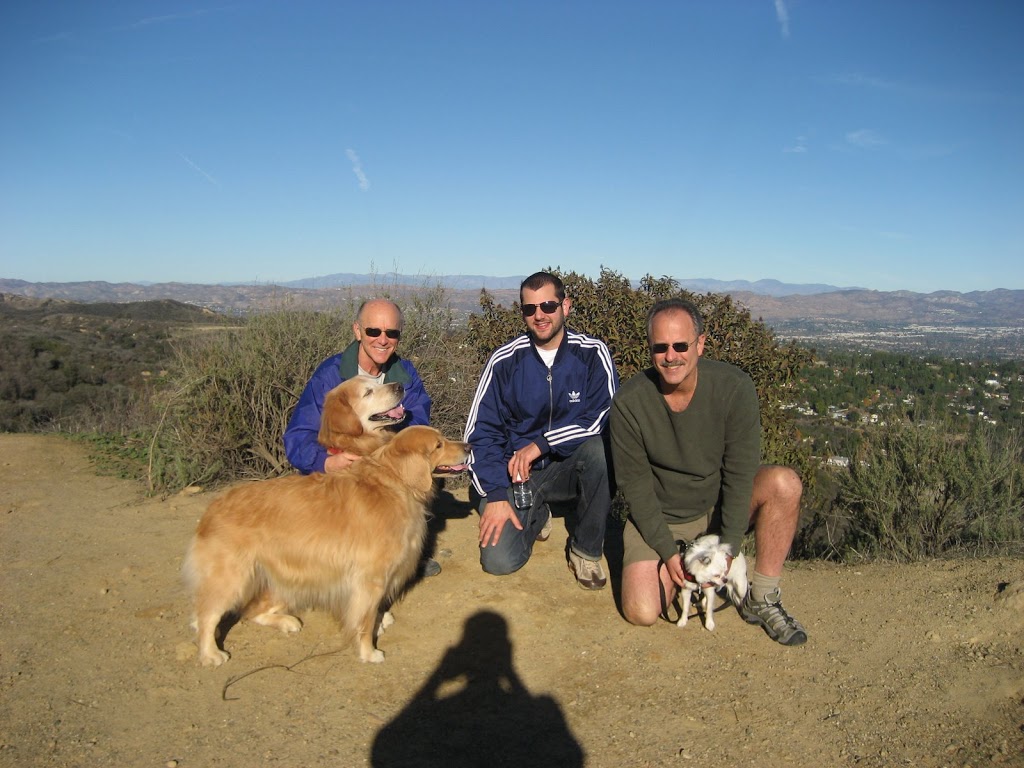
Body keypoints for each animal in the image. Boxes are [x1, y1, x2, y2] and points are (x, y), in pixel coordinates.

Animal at [184, 425, 469, 666]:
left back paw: (286, 621)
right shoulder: (369, 580)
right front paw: (368, 651)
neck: (394, 483)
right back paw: (210, 654)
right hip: (232, 579)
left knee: (250, 611)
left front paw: (380, 621)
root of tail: (212, 509)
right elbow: (364, 620)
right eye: (438, 445)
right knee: (207, 616)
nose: (468, 446)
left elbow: (373, 612)